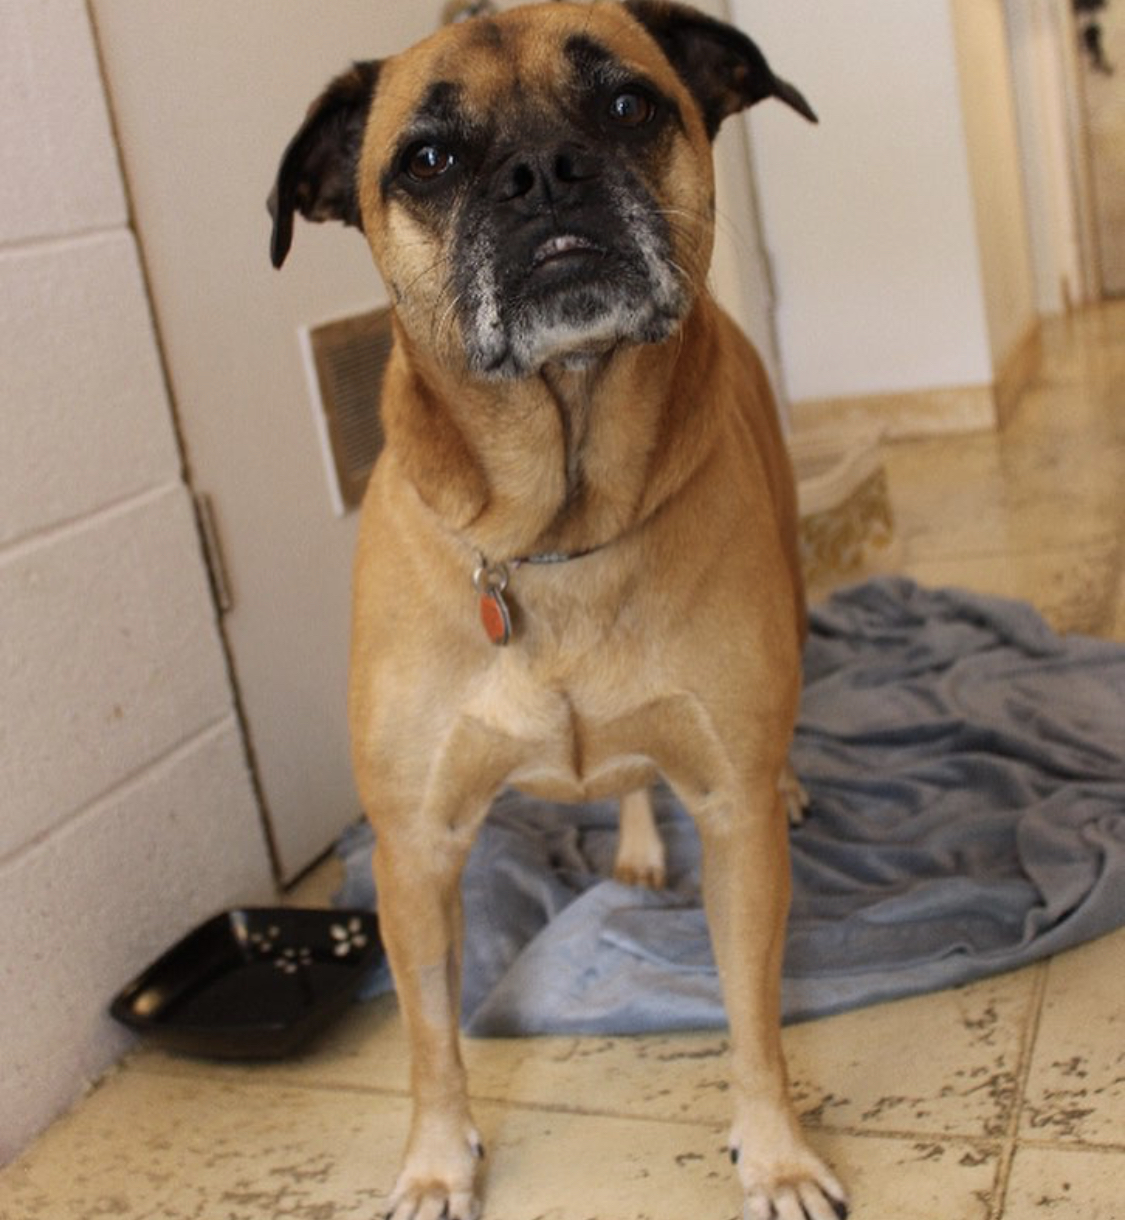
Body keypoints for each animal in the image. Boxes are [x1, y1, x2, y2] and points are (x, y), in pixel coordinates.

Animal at [269, 2, 839, 1220]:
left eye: (628, 103)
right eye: (427, 160)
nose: (545, 172)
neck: (558, 525)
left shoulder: (733, 825)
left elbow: (754, 1013)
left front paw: (776, 1152)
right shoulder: (416, 851)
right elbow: (431, 1040)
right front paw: (437, 1165)